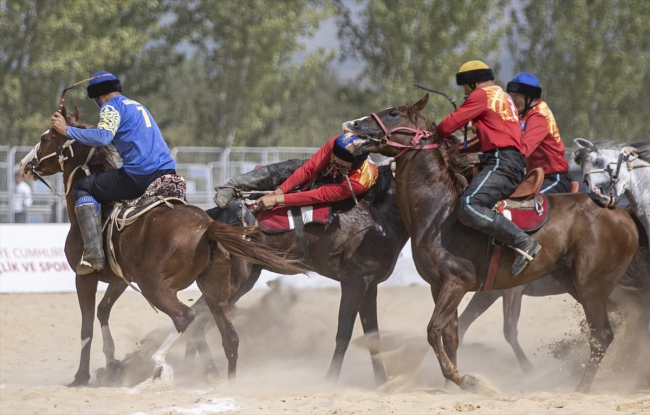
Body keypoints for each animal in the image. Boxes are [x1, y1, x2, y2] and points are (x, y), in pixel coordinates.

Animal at [20, 107, 304, 390]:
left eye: (45, 138)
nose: (24, 164)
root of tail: (207, 226)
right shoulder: (120, 279)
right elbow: (103, 312)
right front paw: (112, 366)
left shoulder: (85, 277)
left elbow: (87, 325)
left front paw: (80, 377)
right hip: (216, 293)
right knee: (229, 337)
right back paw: (227, 383)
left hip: (155, 287)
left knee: (185, 317)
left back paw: (160, 366)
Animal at [182, 163, 408, 386]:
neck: (377, 216)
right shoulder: (354, 282)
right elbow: (344, 332)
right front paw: (331, 380)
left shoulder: (370, 285)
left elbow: (373, 335)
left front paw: (381, 382)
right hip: (231, 281)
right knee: (202, 319)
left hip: (243, 280)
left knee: (198, 319)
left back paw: (197, 375)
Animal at [342, 96, 636, 394]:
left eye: (392, 113)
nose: (353, 124)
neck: (439, 211)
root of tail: (620, 213)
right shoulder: (441, 286)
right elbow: (451, 335)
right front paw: (451, 386)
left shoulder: (458, 283)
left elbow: (434, 330)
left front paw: (463, 379)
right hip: (575, 283)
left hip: (591, 287)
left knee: (602, 334)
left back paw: (581, 388)